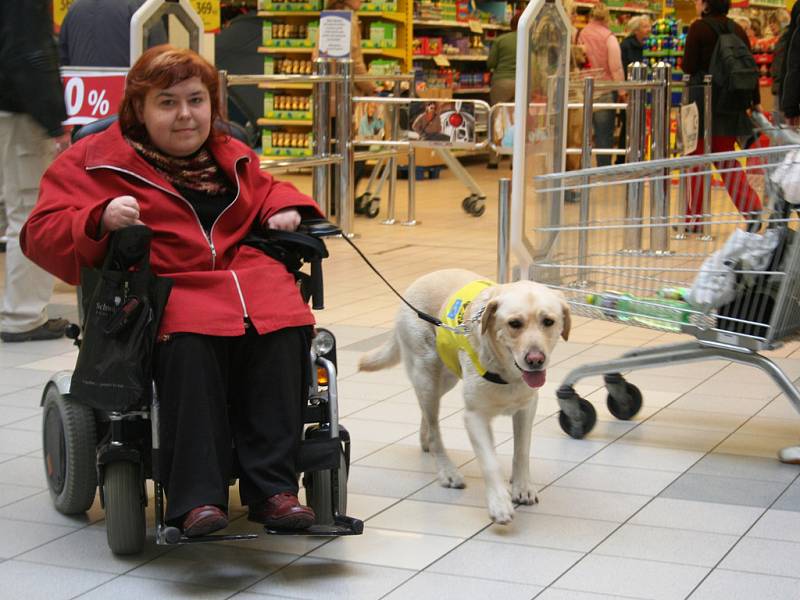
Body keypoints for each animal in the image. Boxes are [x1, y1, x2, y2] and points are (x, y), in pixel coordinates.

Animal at [360, 270, 572, 524]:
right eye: (514, 323)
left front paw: (522, 487)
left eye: (548, 321)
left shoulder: (526, 408)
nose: (535, 359)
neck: (506, 372)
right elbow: (490, 463)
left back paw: (424, 439)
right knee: (434, 428)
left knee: (426, 415)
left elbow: (522, 450)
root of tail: (419, 281)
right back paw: (447, 471)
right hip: (427, 377)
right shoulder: (474, 417)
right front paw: (499, 503)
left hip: (446, 377)